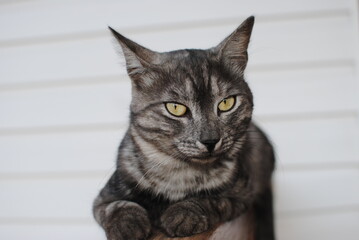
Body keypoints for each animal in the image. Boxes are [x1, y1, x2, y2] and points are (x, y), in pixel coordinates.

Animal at [93, 16, 276, 240]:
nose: (210, 140)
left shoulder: (241, 193)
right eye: (176, 108)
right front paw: (127, 225)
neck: (179, 175)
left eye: (227, 103)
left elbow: (212, 199)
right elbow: (116, 206)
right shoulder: (104, 197)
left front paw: (184, 214)